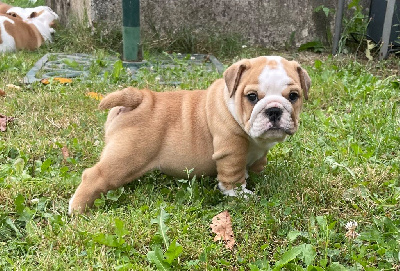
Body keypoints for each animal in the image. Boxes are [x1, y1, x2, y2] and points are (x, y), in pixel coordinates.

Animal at [69, 56, 312, 216]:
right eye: (252, 96)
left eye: (293, 96)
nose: (274, 110)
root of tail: (140, 98)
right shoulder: (231, 150)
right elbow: (233, 175)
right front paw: (240, 194)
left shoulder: (260, 151)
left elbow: (257, 164)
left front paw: (259, 177)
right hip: (126, 157)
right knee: (93, 176)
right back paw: (77, 209)